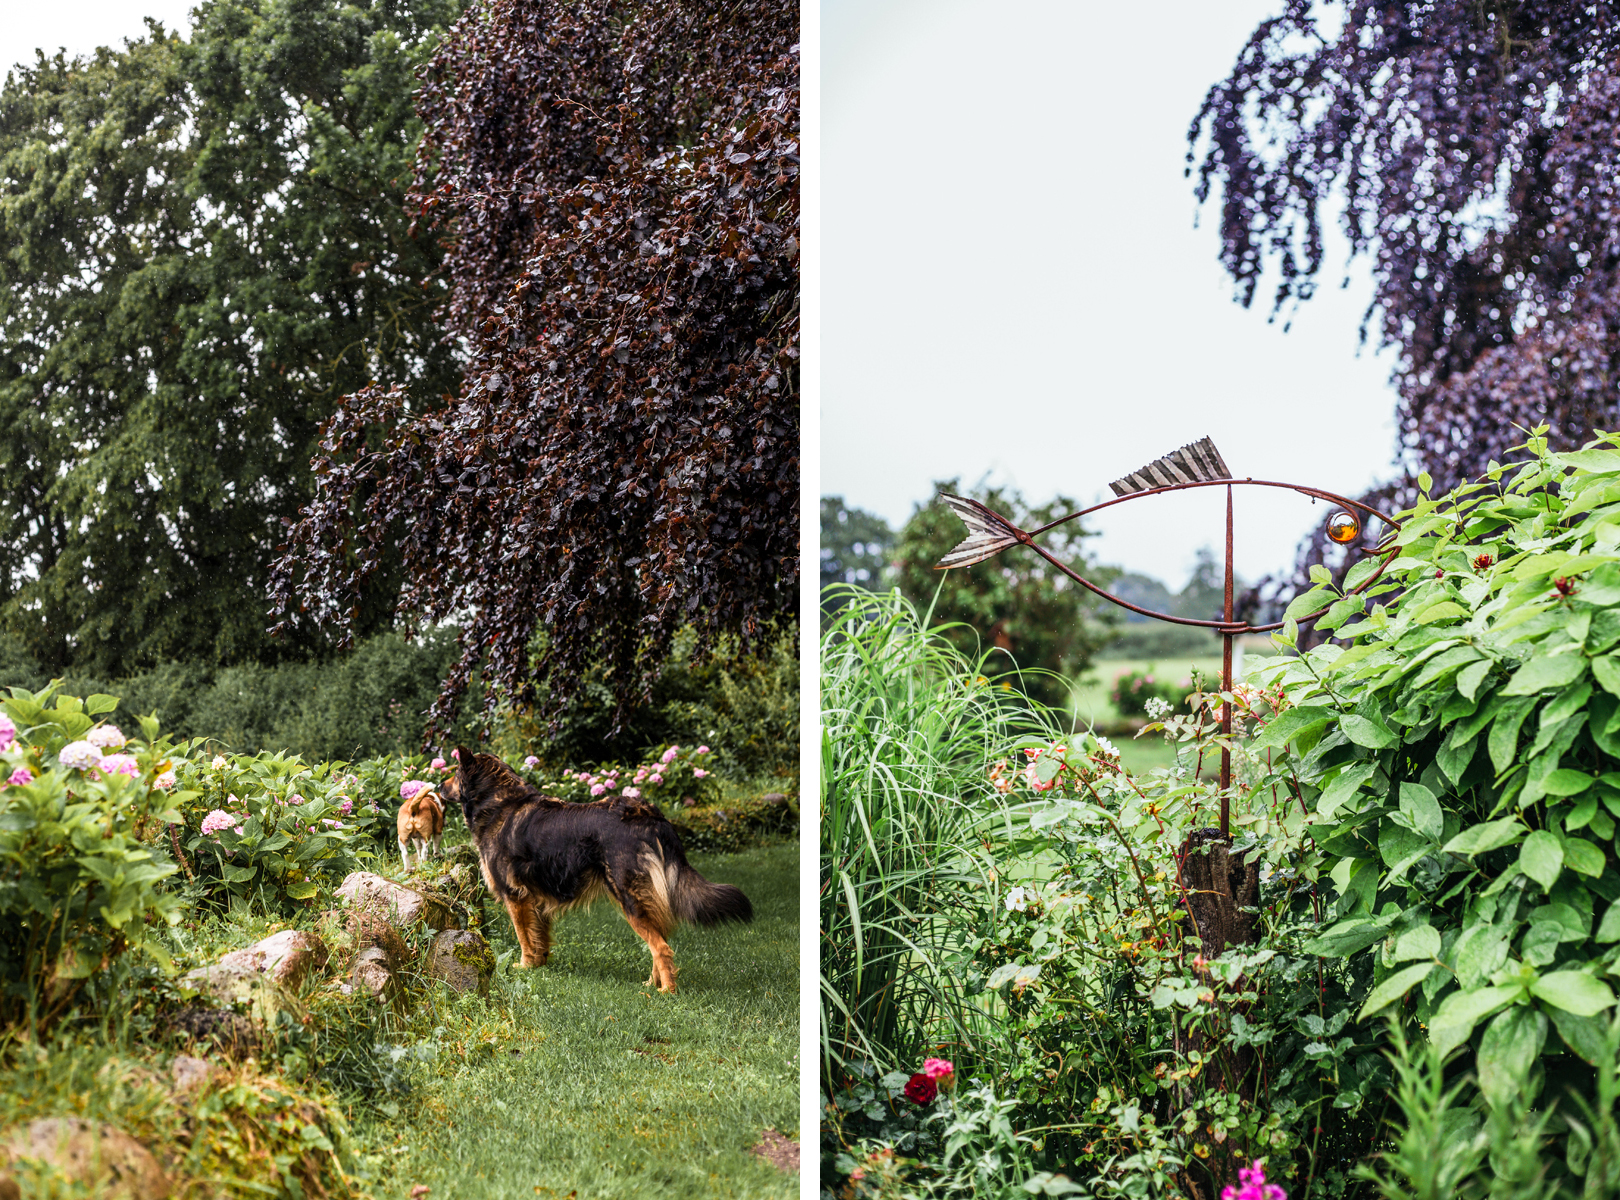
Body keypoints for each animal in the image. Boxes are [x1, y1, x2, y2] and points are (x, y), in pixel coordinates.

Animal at [440, 748, 748, 991]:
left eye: (454, 773)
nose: (439, 787)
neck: (499, 802)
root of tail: (647, 813)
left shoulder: (516, 897)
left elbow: (524, 938)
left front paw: (525, 967)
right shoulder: (537, 900)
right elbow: (540, 939)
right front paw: (540, 966)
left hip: (630, 898)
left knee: (661, 948)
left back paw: (666, 992)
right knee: (659, 944)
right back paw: (653, 983)